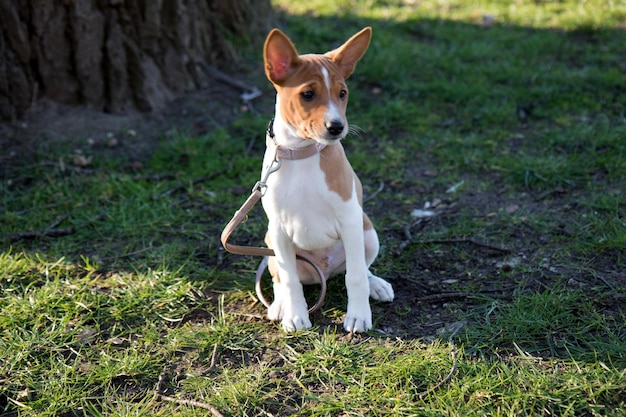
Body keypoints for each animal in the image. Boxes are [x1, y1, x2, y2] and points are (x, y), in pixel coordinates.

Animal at [258, 26, 390, 332]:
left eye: (342, 93)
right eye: (307, 94)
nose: (337, 127)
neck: (301, 154)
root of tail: (325, 270)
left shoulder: (350, 219)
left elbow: (355, 276)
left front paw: (359, 315)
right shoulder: (278, 229)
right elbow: (289, 280)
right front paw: (295, 315)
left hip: (368, 232)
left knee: (360, 268)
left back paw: (376, 285)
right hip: (270, 242)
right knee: (279, 276)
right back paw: (279, 305)